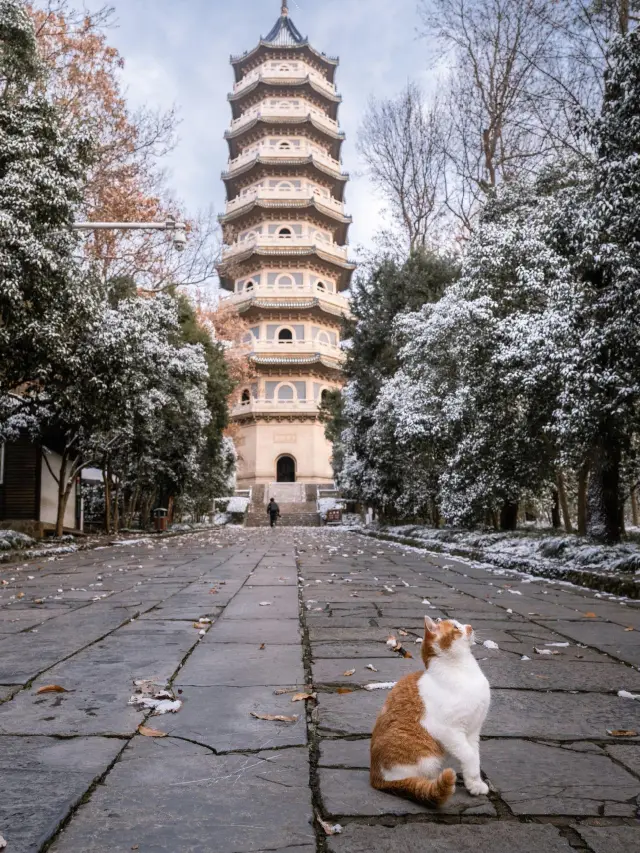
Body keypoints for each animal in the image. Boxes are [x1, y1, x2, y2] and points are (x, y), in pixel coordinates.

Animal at [370, 620, 490, 804]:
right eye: (456, 627)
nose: (469, 626)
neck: (462, 671)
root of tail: (376, 779)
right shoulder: (449, 732)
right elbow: (469, 756)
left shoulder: (473, 732)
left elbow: (474, 758)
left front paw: (474, 784)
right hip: (428, 760)